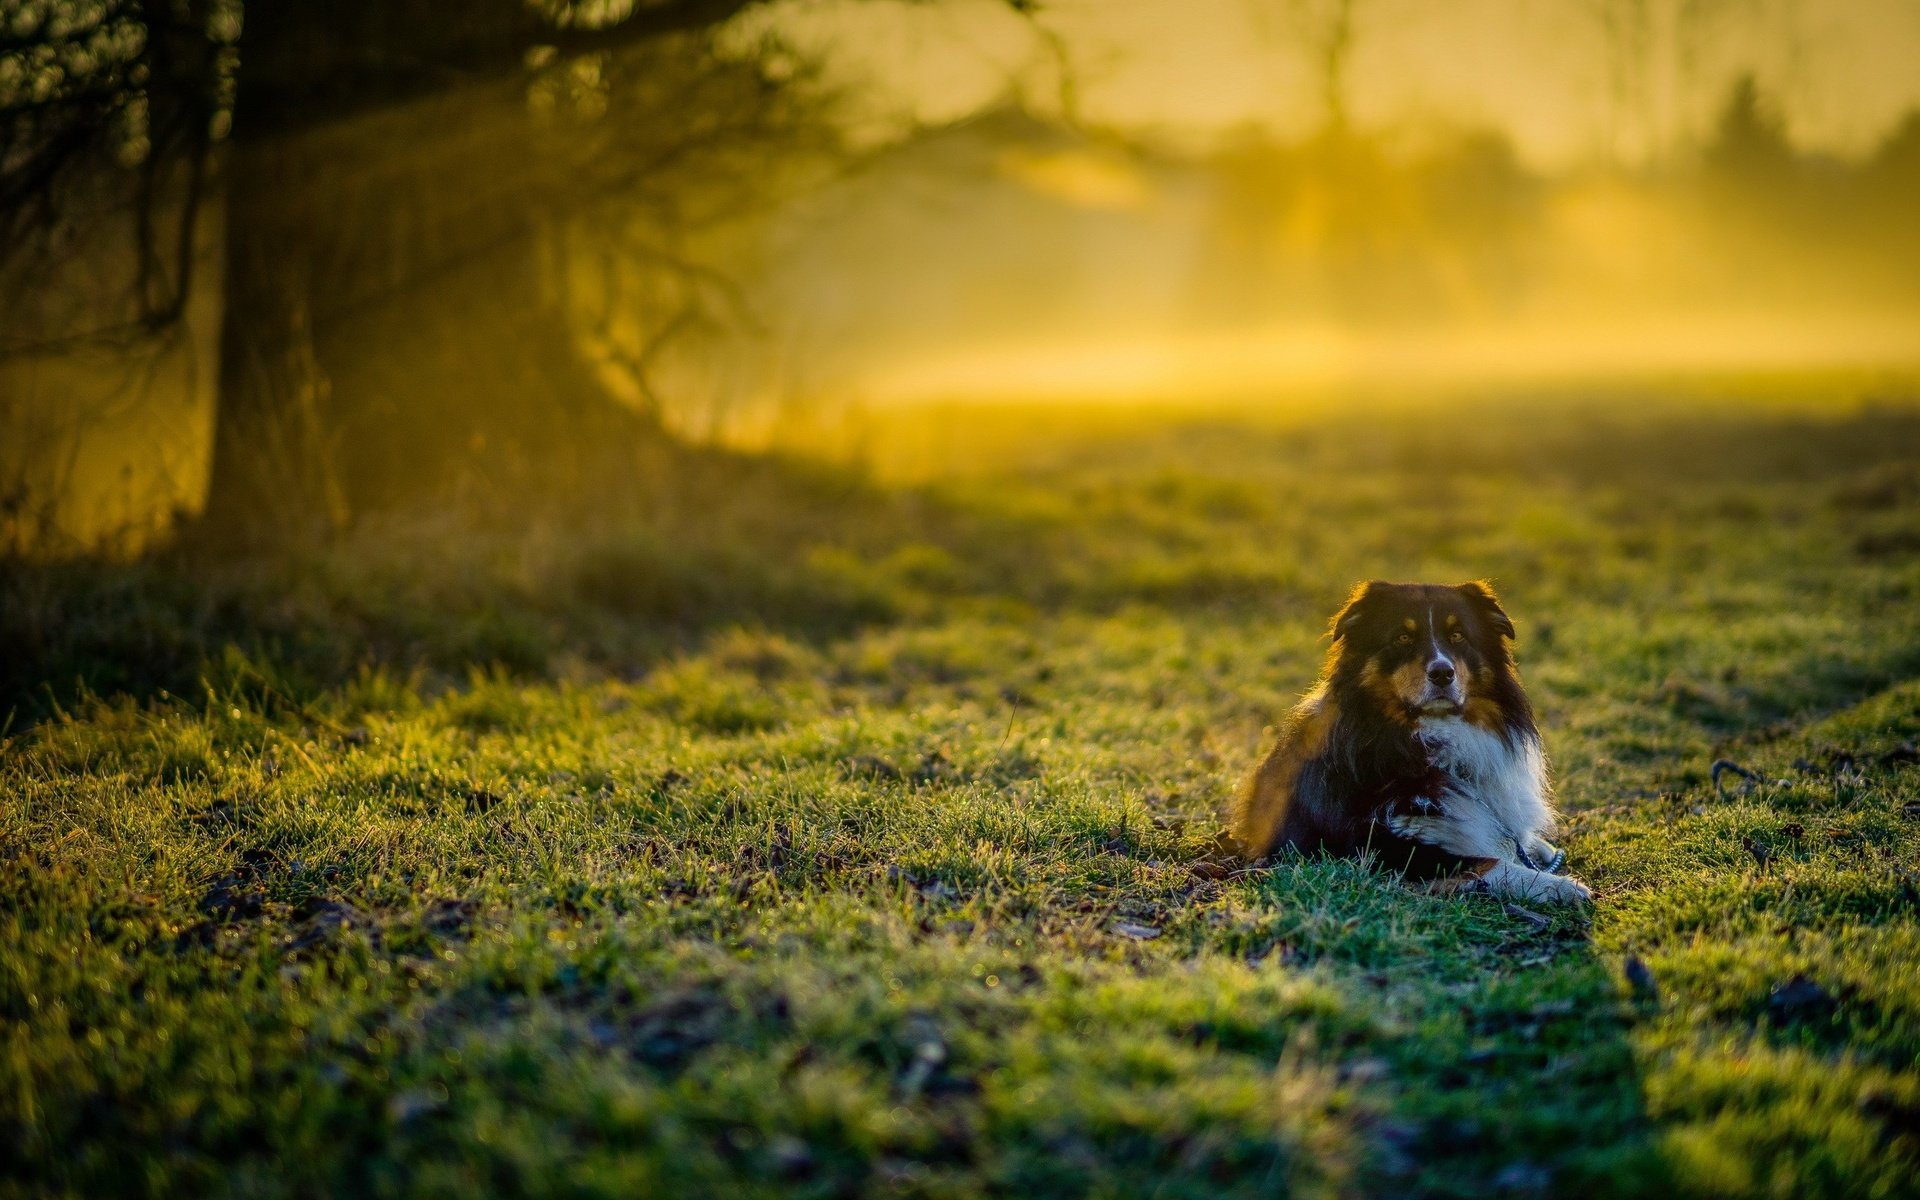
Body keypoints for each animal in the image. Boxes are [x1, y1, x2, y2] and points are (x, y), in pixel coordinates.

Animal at [1228, 579, 1589, 898]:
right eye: (1402, 637)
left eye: (1458, 635)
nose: (1442, 673)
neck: (1428, 740)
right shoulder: (1380, 846)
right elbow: (1487, 862)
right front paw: (1561, 887)